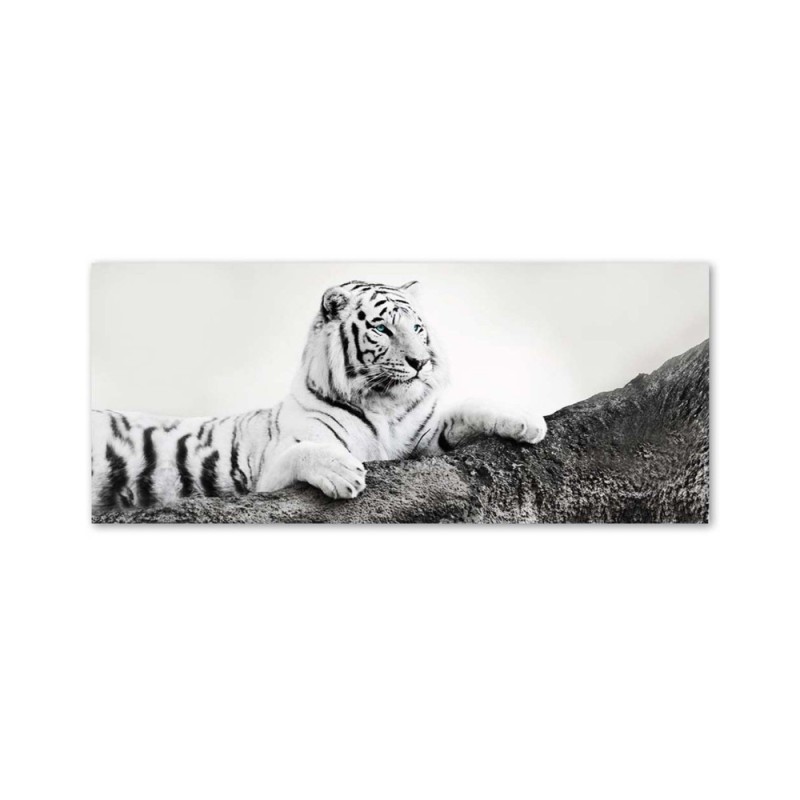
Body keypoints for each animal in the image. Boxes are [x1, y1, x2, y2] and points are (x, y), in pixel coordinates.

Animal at [91, 279, 547, 510]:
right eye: (382, 328)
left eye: (418, 328)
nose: (420, 362)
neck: (383, 405)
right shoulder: (268, 473)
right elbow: (305, 451)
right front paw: (344, 473)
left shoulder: (424, 438)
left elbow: (469, 408)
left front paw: (528, 422)